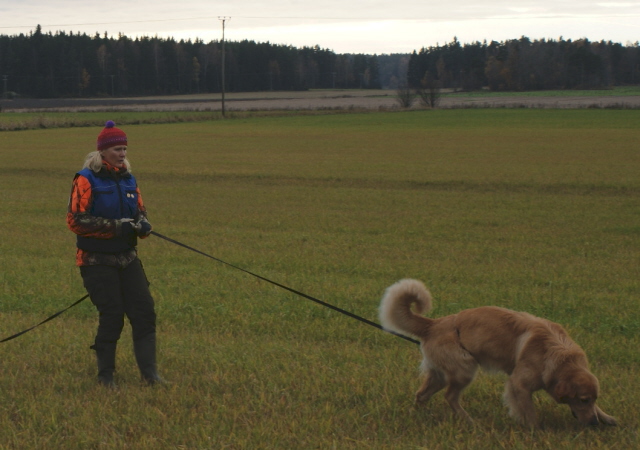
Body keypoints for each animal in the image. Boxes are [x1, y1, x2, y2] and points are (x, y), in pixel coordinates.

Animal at [378, 278, 616, 428]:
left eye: (591, 400)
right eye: (583, 400)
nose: (594, 423)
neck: (556, 354)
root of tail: (433, 324)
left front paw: (607, 416)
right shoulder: (519, 384)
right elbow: (529, 412)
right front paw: (536, 431)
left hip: (440, 374)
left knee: (422, 394)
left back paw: (419, 414)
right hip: (465, 368)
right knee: (450, 396)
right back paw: (468, 421)